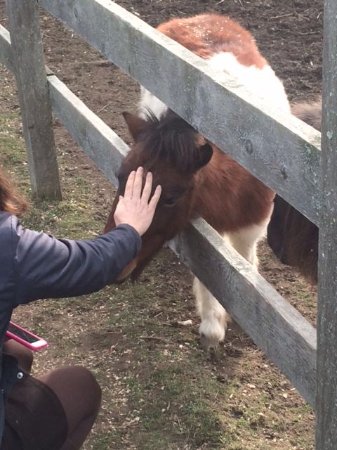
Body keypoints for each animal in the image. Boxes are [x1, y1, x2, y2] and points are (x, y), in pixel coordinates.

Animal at [104, 13, 288, 352]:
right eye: (121, 177)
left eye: (172, 197)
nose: (118, 268)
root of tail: (198, 18)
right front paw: (212, 324)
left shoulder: (250, 228)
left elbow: (244, 266)